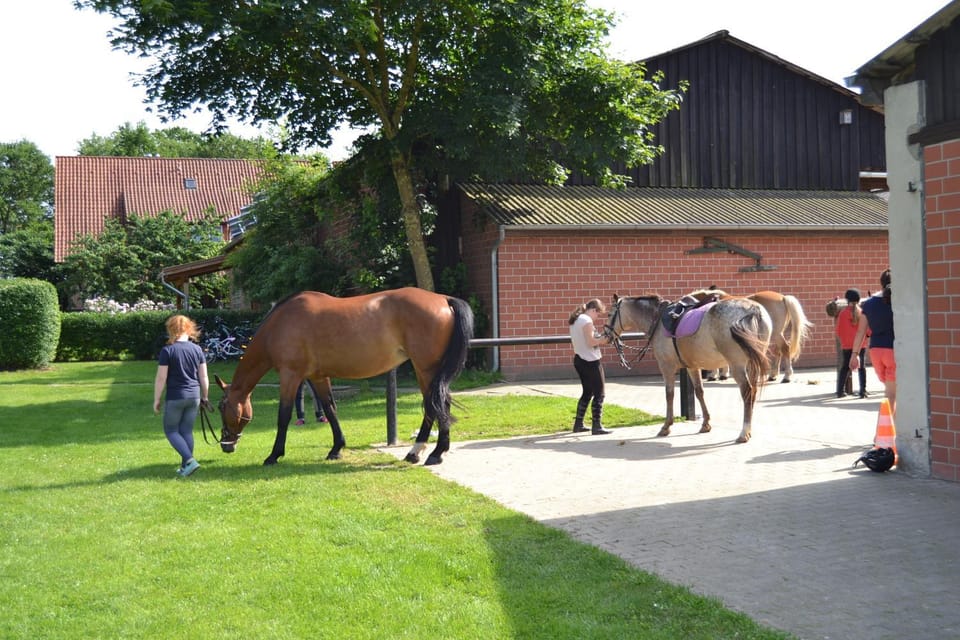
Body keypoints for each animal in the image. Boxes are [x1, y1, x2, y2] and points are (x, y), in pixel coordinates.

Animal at [213, 288, 474, 466]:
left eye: (221, 406)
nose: (226, 445)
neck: (280, 324)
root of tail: (443, 299)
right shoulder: (318, 377)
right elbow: (330, 410)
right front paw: (336, 449)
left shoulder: (290, 376)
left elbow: (284, 416)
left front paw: (274, 455)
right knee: (437, 405)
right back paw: (422, 452)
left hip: (426, 369)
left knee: (437, 405)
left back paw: (432, 453)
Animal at [605, 293, 771, 443]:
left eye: (610, 314)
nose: (606, 334)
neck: (657, 320)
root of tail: (753, 310)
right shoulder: (693, 367)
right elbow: (699, 392)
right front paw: (705, 424)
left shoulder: (666, 366)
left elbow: (669, 394)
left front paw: (666, 426)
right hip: (752, 364)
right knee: (753, 391)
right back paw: (748, 430)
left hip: (737, 365)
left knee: (747, 391)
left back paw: (744, 432)